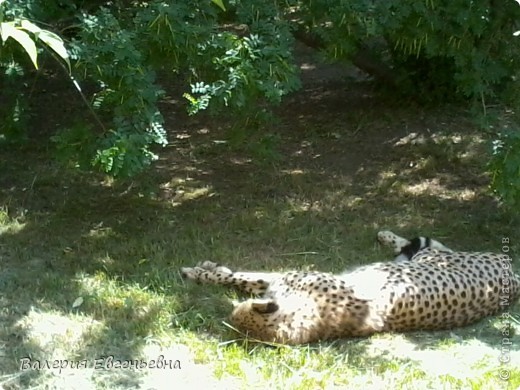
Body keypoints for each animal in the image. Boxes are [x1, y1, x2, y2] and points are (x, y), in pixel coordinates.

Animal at [182, 232, 520, 344]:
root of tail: (514, 282)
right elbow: (244, 278)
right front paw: (207, 270)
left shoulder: (289, 277)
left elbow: (241, 277)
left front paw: (200, 271)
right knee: (431, 244)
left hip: (433, 260)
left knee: (431, 245)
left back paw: (388, 236)